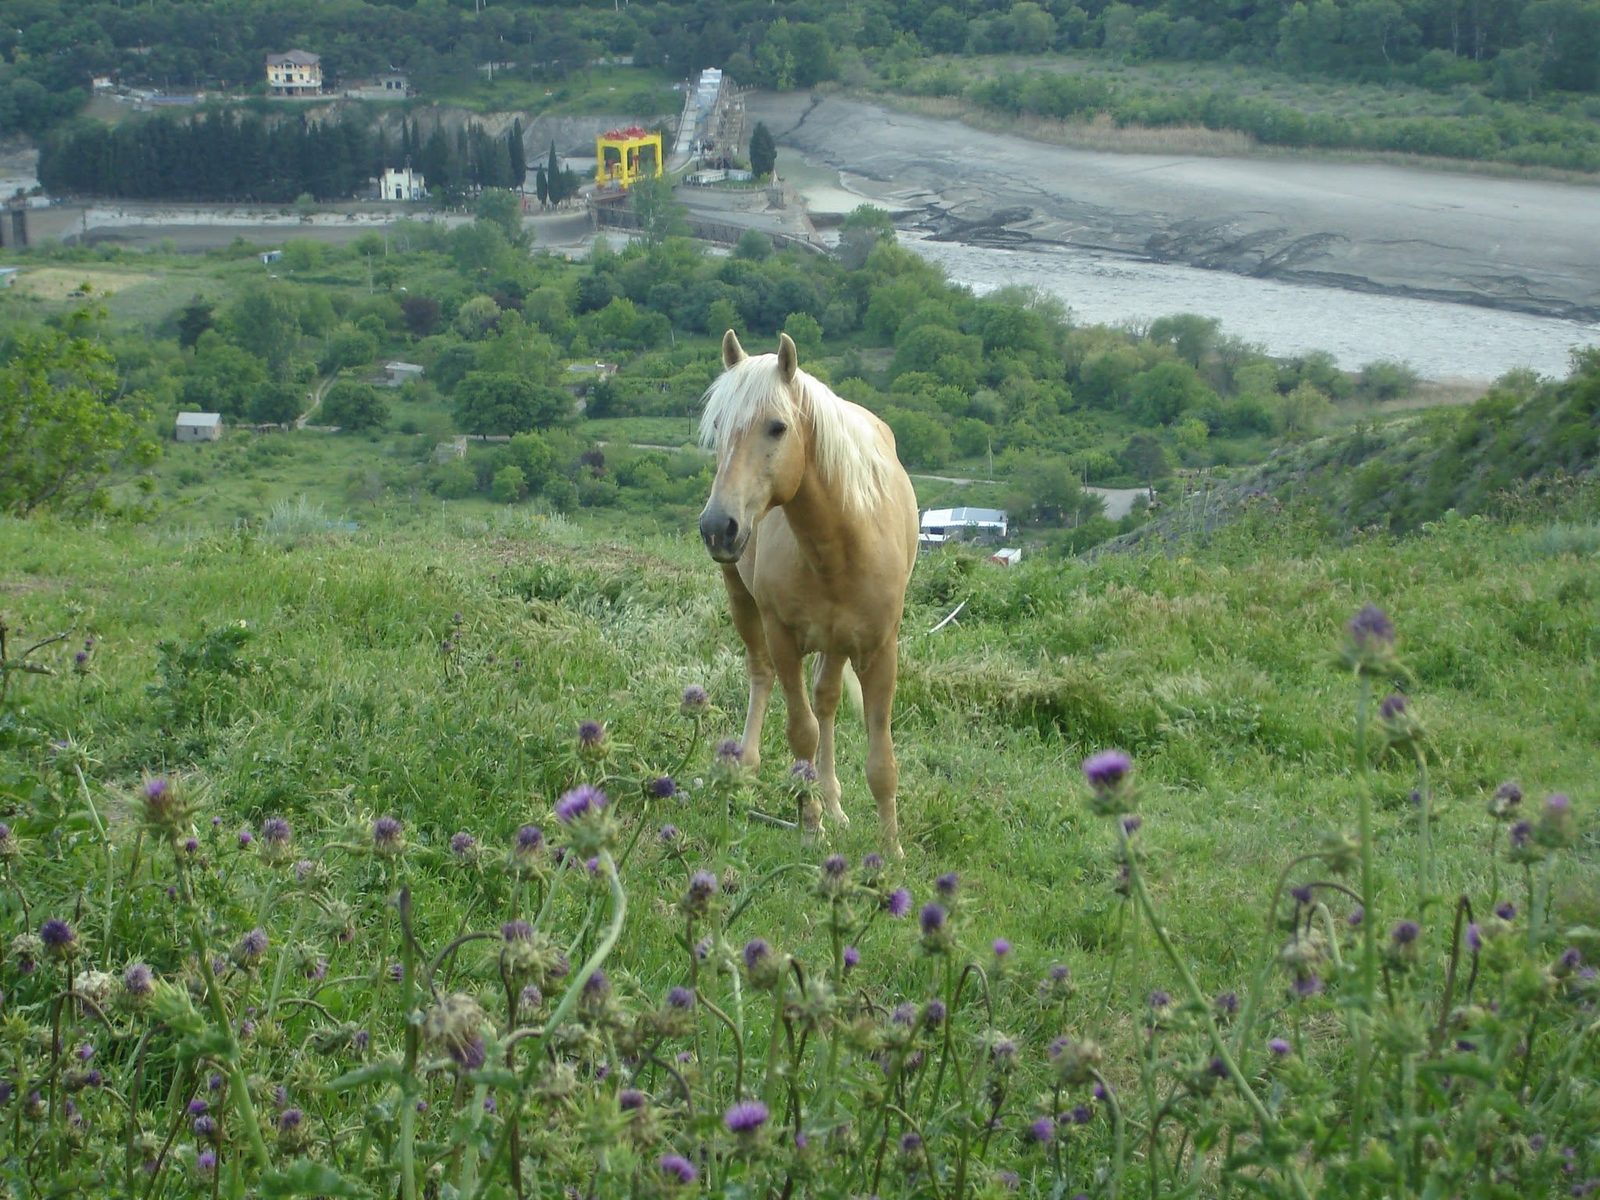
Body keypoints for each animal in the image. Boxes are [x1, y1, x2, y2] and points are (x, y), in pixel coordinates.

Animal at [697, 330, 919, 857]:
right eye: (717, 426)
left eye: (777, 427)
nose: (718, 527)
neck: (842, 542)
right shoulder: (783, 638)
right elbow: (802, 732)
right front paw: (810, 826)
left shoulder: (880, 649)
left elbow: (881, 760)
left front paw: (891, 849)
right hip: (742, 601)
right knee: (761, 675)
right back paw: (749, 768)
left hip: (837, 644)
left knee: (828, 699)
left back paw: (835, 803)